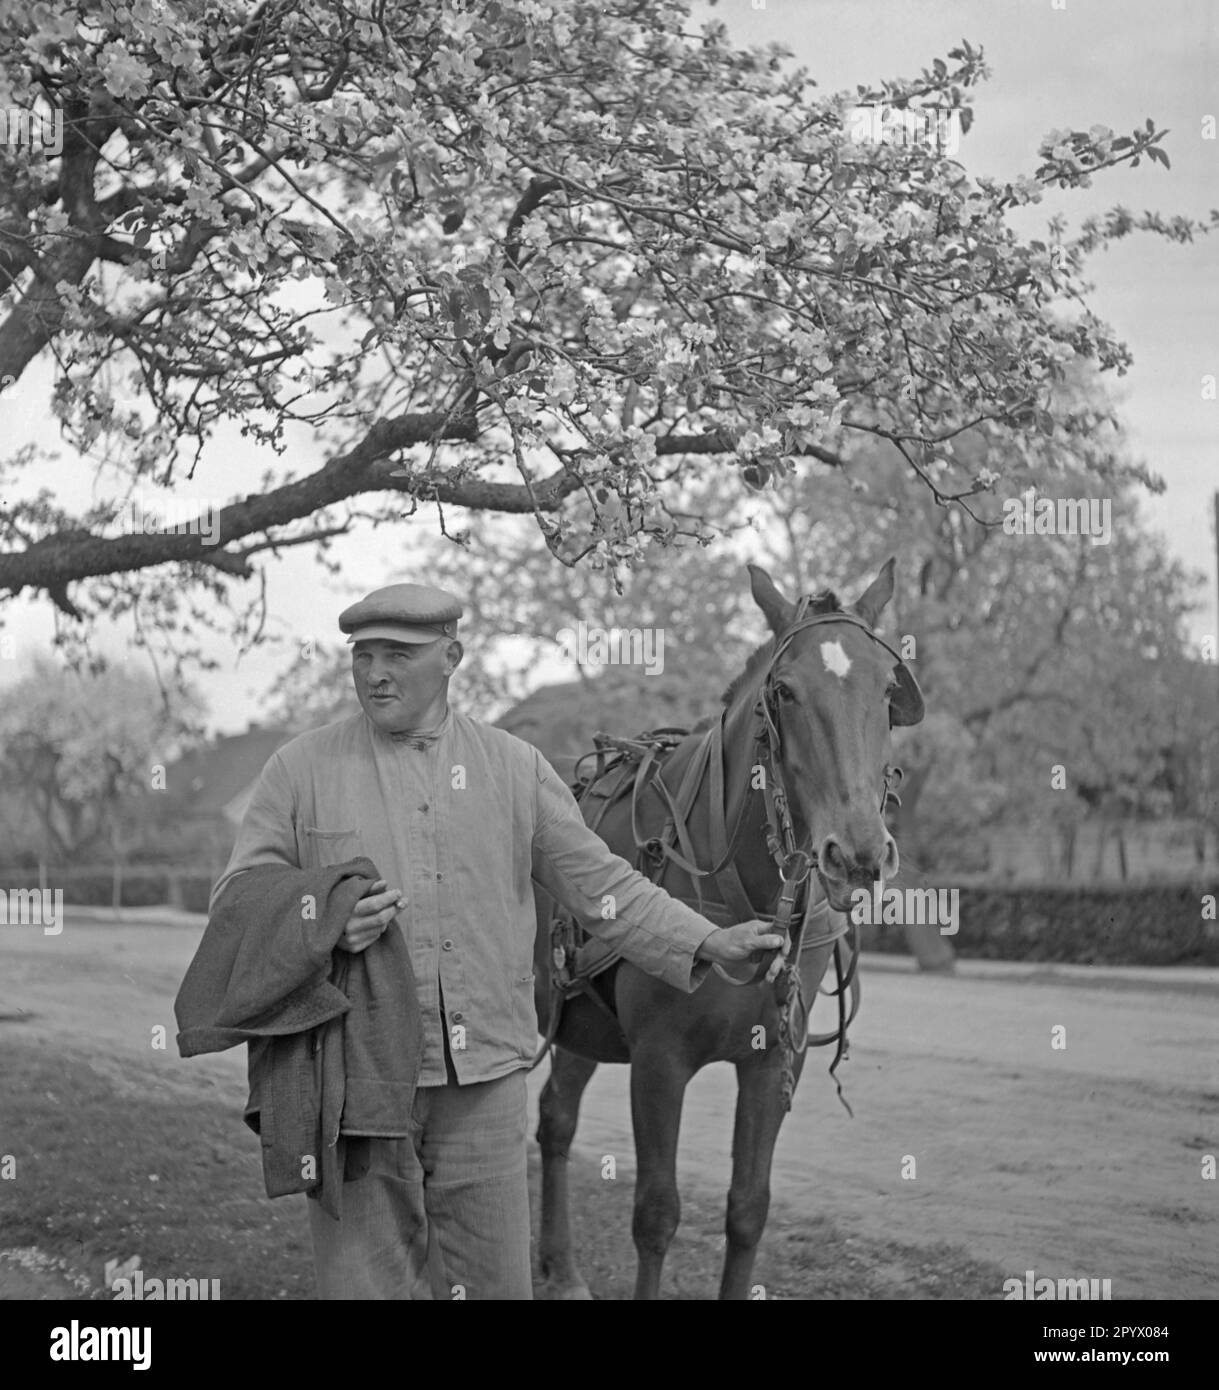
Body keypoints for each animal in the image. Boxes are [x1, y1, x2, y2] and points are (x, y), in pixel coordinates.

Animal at [525, 558, 922, 1295]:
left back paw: (560, 1268)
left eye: (888, 689)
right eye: (784, 692)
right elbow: (656, 1214)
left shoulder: (772, 1063)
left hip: (576, 1020)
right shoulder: (658, 1062)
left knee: (555, 1120)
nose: (856, 852)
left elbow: (748, 1211)